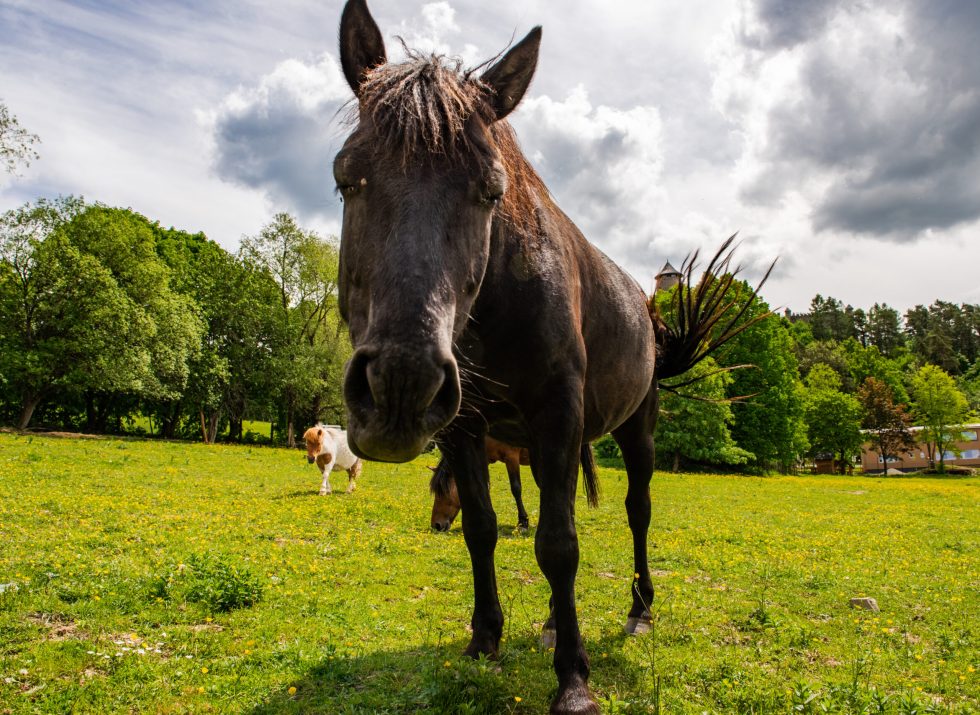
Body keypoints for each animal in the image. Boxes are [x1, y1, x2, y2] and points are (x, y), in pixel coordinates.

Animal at [334, 1, 768, 712]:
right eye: (346, 177)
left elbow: (559, 546)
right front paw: (485, 639)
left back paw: (638, 611)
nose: (400, 386)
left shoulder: (557, 415)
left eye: (490, 191)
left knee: (636, 512)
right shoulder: (465, 427)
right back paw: (547, 624)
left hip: (636, 430)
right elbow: (485, 529)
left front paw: (574, 679)